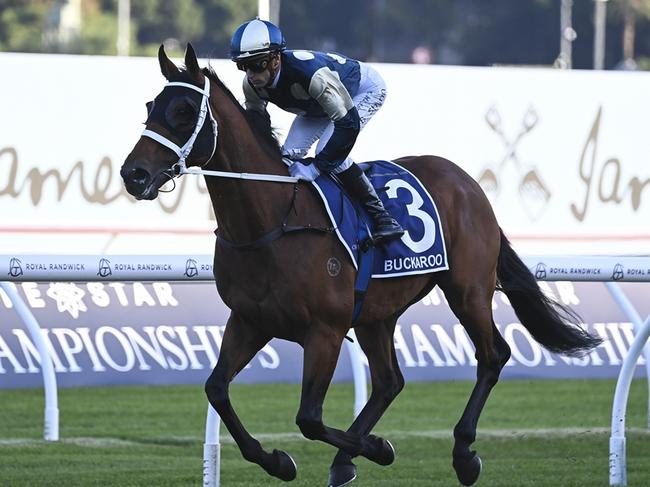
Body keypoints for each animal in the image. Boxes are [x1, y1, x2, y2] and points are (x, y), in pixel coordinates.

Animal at [120, 43, 596, 486]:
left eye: (184, 112)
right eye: (150, 107)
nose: (133, 174)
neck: (274, 220)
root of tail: (467, 182)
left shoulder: (325, 331)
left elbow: (309, 418)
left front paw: (379, 449)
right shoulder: (250, 320)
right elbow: (216, 389)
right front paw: (278, 460)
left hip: (468, 290)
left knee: (492, 354)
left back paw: (462, 453)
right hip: (376, 313)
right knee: (389, 380)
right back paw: (345, 460)